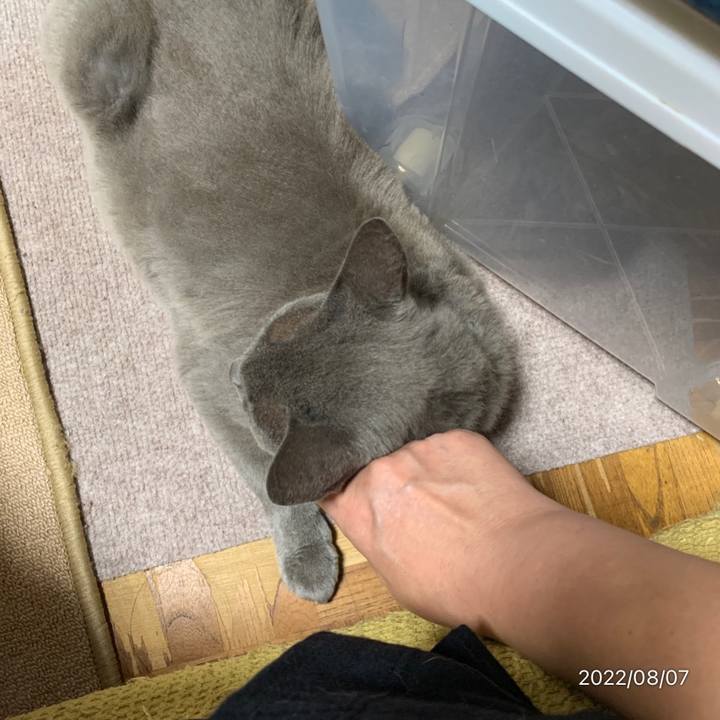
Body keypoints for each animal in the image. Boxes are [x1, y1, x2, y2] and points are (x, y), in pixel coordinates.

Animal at [41, 0, 517, 602]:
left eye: (255, 400)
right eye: (274, 330)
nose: (235, 373)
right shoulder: (203, 376)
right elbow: (268, 486)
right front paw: (309, 559)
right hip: (98, 71)